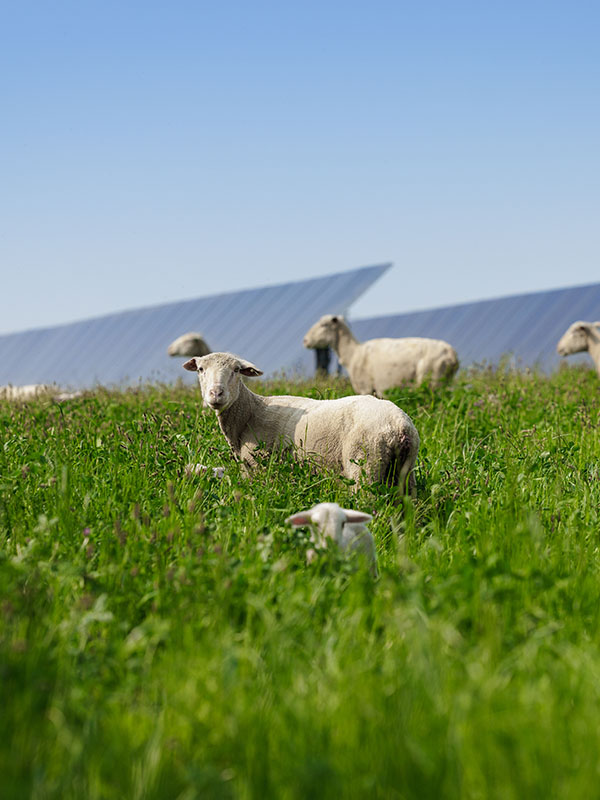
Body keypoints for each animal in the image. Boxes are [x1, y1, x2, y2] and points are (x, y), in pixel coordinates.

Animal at [183, 352, 420, 495]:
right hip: (405, 472)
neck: (250, 412)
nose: (216, 393)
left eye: (236, 370)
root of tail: (399, 425)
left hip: (365, 465)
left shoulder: (258, 466)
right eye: (201, 369)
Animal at [303, 314, 459, 396]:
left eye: (323, 325)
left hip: (432, 378)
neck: (352, 354)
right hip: (445, 379)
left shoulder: (365, 387)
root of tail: (451, 354)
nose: (305, 340)